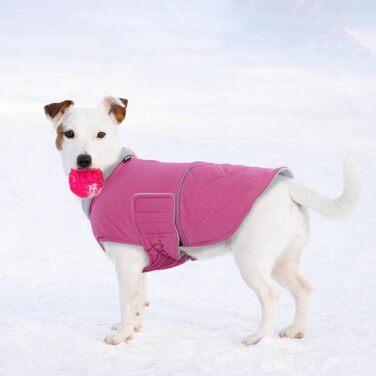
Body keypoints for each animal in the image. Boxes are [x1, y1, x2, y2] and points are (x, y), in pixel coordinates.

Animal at [43, 96, 362, 346]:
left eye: (101, 134)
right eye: (68, 133)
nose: (84, 160)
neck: (112, 173)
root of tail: (287, 186)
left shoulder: (125, 261)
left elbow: (126, 300)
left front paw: (121, 335)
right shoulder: (138, 263)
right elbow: (138, 299)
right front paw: (134, 327)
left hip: (252, 259)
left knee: (270, 297)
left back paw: (257, 337)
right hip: (283, 260)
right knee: (303, 289)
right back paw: (296, 330)